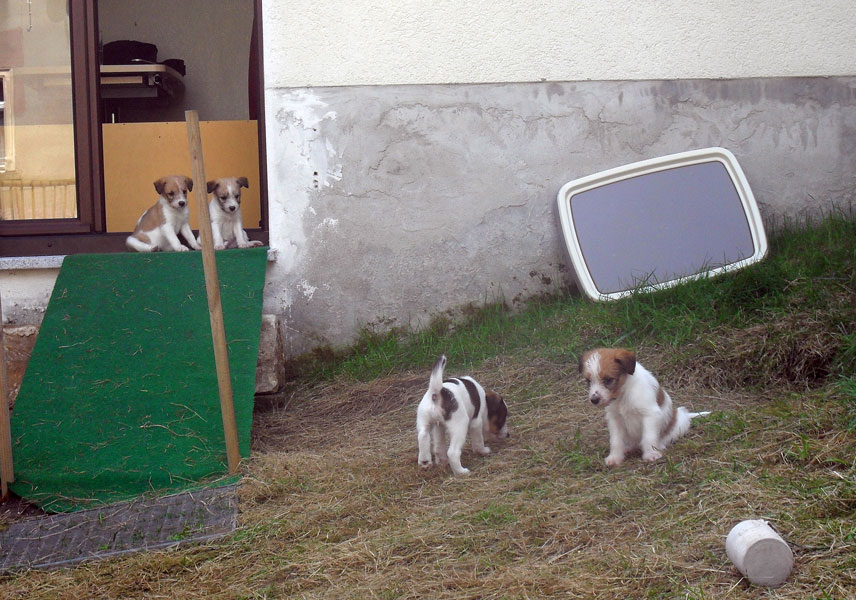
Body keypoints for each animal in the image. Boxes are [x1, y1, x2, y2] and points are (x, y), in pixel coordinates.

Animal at [579, 348, 709, 467]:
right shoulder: (615, 419)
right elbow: (616, 441)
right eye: (588, 381)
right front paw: (615, 457)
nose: (594, 400)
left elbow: (648, 437)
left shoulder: (650, 414)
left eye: (608, 380)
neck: (623, 393)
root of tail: (682, 413)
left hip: (680, 424)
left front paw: (651, 454)